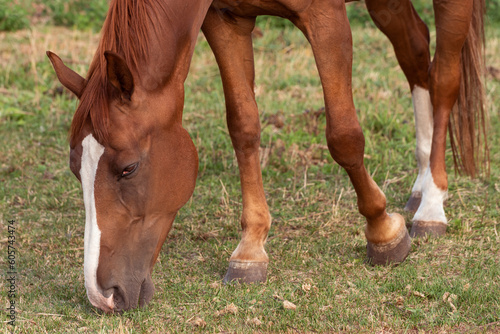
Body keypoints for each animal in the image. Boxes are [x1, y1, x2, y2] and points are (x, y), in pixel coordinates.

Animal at [47, 0, 484, 314]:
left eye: (128, 168)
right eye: (75, 171)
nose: (102, 295)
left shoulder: (325, 16)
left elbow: (343, 135)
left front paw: (383, 232)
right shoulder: (226, 19)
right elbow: (243, 125)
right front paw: (251, 247)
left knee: (444, 77)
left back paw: (432, 204)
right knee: (415, 49)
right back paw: (420, 185)